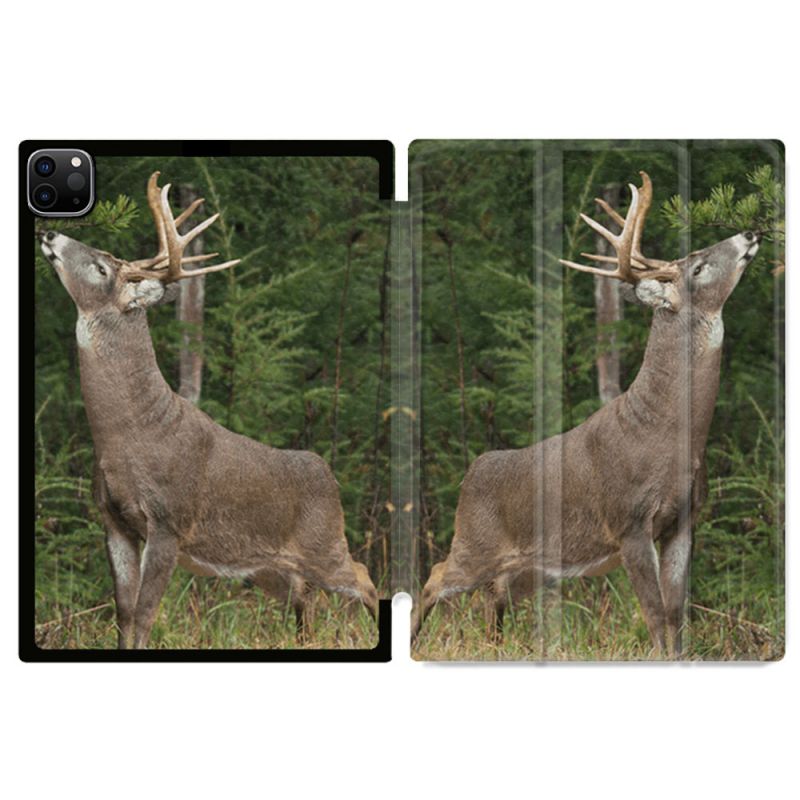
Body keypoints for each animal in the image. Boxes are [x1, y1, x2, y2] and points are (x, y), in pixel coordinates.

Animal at [39, 172, 379, 649]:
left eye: (102, 267)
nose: (50, 232)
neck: (128, 433)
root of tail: (328, 474)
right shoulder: (112, 519)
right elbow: (123, 614)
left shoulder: (168, 521)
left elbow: (145, 614)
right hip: (270, 567)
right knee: (305, 597)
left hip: (324, 541)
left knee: (363, 577)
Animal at [411, 172, 760, 658]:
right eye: (697, 267)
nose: (749, 233)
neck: (667, 432)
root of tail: (471, 473)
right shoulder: (629, 521)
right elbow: (655, 616)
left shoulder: (684, 519)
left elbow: (676, 614)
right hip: (473, 542)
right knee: (434, 577)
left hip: (526, 568)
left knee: (492, 597)